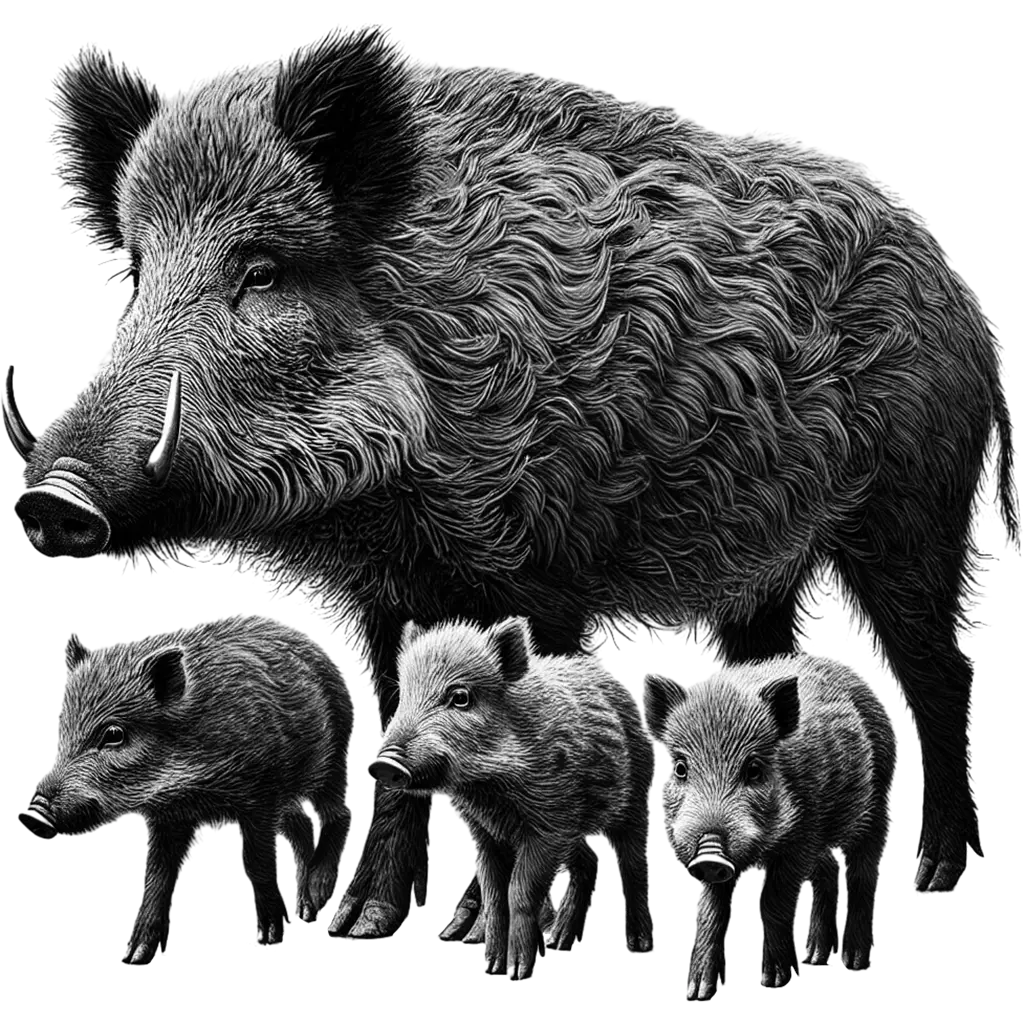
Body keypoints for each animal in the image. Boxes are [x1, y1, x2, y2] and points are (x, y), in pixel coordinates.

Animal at [17, 615, 352, 965]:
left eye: (114, 734)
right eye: (62, 728)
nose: (34, 810)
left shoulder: (261, 796)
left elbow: (258, 858)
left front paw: (270, 938)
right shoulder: (169, 815)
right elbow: (158, 875)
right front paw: (135, 954)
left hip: (332, 754)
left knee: (338, 812)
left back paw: (316, 896)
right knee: (302, 825)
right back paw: (307, 911)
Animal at [372, 616, 655, 981]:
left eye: (460, 697)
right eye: (404, 694)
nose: (384, 764)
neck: (489, 791)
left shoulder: (548, 824)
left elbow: (518, 890)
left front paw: (517, 972)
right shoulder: (486, 830)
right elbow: (493, 892)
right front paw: (491, 967)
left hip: (633, 797)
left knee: (634, 862)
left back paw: (639, 945)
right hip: (574, 828)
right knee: (588, 862)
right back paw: (558, 941)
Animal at [646, 654, 897, 1000]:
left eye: (754, 769)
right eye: (681, 768)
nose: (710, 854)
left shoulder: (802, 834)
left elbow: (774, 898)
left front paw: (775, 983)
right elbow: (712, 910)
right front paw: (698, 992)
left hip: (877, 804)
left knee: (863, 872)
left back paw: (854, 963)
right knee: (825, 872)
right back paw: (815, 958)